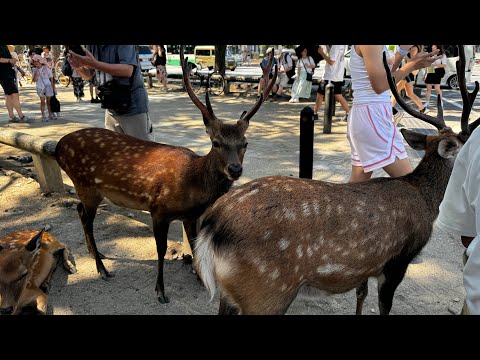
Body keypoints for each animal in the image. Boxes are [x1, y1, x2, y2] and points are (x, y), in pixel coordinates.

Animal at [54, 45, 278, 304]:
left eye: (245, 144)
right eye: (216, 142)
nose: (235, 169)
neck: (191, 183)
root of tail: (58, 147)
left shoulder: (190, 216)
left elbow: (194, 244)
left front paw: (200, 278)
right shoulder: (158, 209)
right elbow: (160, 250)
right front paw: (160, 291)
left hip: (88, 189)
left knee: (79, 210)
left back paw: (95, 252)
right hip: (86, 184)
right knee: (86, 217)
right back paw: (102, 269)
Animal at [192, 45, 480, 316]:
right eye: (466, 145)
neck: (425, 200)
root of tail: (212, 228)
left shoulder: (367, 265)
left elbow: (361, 294)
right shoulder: (398, 259)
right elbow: (384, 306)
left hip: (232, 293)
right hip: (268, 288)